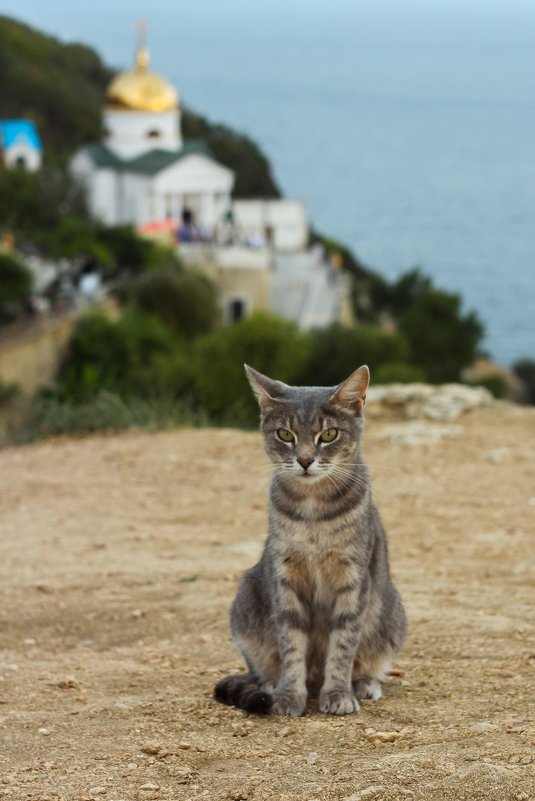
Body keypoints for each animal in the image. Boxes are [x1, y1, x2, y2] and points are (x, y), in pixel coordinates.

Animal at [215, 366, 406, 716]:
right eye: (285, 435)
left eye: (328, 435)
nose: (304, 460)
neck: (312, 511)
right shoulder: (285, 578)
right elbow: (291, 646)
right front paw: (289, 696)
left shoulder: (353, 579)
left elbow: (343, 646)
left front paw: (339, 694)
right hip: (246, 600)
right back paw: (272, 685)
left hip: (391, 614)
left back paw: (364, 684)